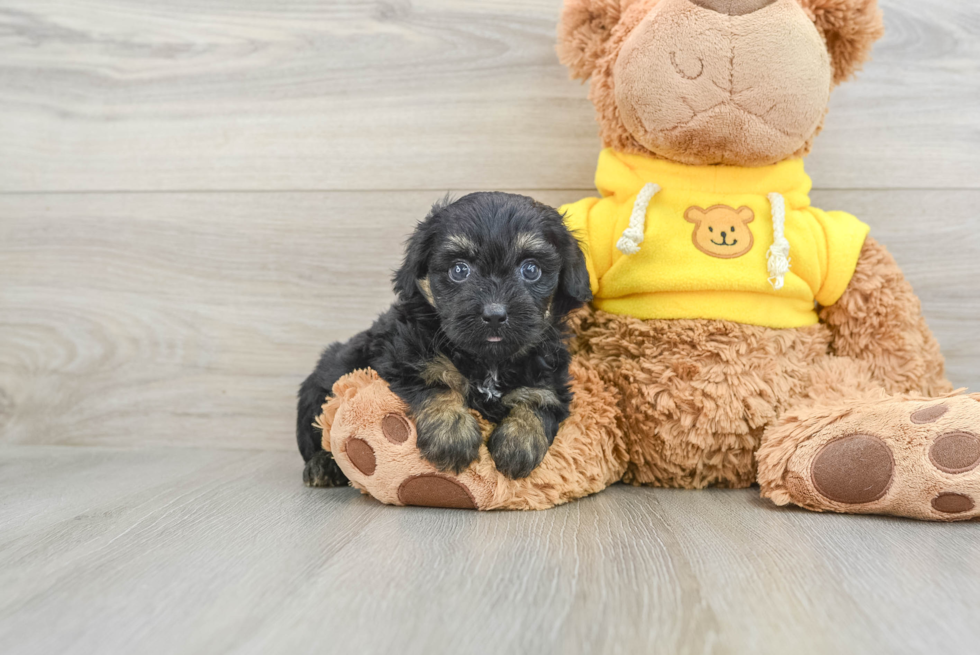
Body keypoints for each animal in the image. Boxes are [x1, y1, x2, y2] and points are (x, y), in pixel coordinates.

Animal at [296, 190, 588, 486]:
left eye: (531, 270)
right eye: (459, 270)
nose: (494, 314)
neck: (489, 362)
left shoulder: (549, 373)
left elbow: (539, 399)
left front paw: (520, 444)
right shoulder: (403, 354)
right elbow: (436, 378)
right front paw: (452, 435)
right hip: (318, 389)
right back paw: (323, 465)